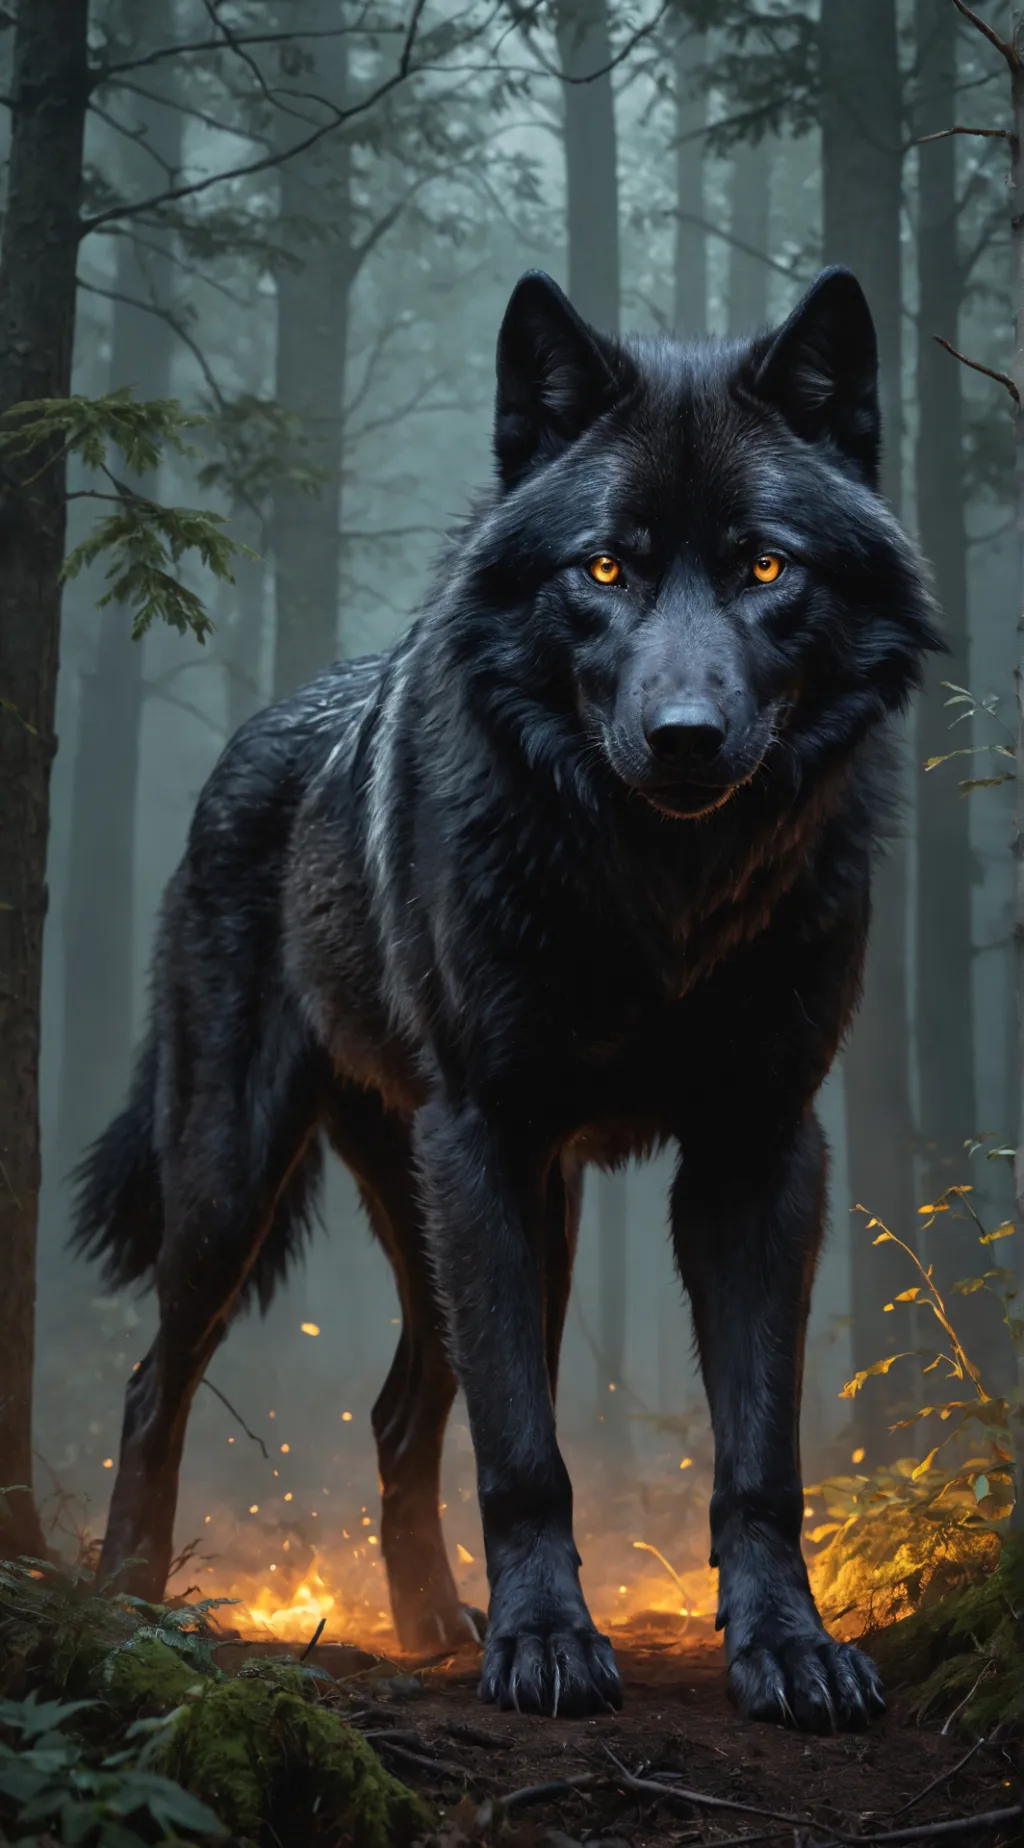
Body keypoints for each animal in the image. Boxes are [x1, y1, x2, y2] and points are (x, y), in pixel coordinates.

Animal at [74, 264, 942, 1730]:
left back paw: (431, 1624)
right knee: (153, 1385)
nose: (685, 740)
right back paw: (135, 1607)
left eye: (766, 566)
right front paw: (544, 1646)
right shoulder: (486, 1134)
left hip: (509, 1218)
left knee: (397, 1415)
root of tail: (254, 734)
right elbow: (525, 1452)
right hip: (250, 1182)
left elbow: (760, 1458)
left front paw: (787, 1651)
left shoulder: (761, 1147)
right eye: (604, 567)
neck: (661, 895)